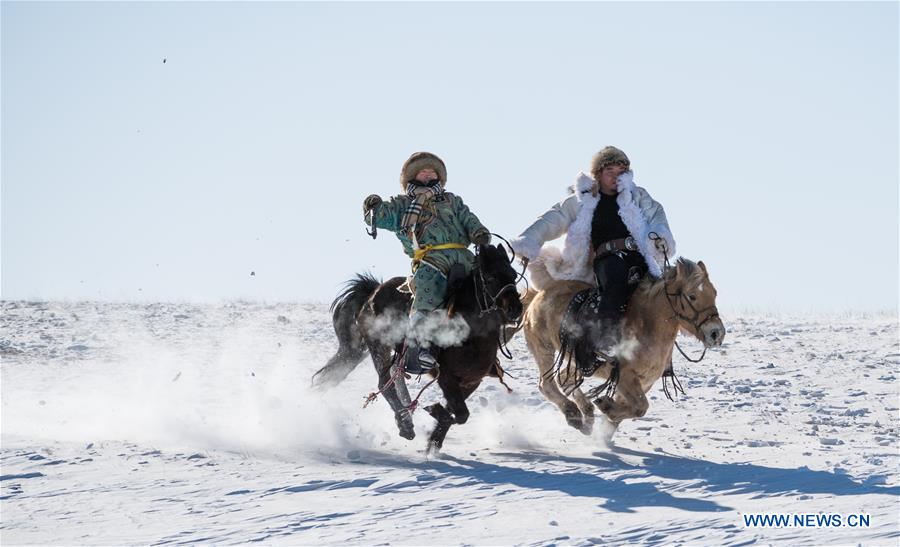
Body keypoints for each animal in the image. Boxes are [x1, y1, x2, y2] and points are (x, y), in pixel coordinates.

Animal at [312, 243, 524, 453]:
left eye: (513, 275)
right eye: (490, 277)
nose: (516, 309)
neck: (473, 337)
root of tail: (373, 292)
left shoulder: (471, 381)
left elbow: (457, 413)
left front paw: (435, 440)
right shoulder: (446, 377)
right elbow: (460, 414)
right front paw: (434, 413)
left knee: (394, 378)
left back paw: (407, 417)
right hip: (379, 346)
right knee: (385, 384)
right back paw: (405, 424)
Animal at [522, 257, 725, 437]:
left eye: (714, 293)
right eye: (692, 296)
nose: (716, 333)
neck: (647, 325)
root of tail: (538, 294)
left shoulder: (644, 382)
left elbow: (633, 410)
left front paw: (606, 414)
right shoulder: (625, 376)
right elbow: (640, 407)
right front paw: (605, 405)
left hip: (577, 361)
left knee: (565, 378)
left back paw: (586, 413)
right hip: (544, 347)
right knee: (547, 385)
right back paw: (573, 415)